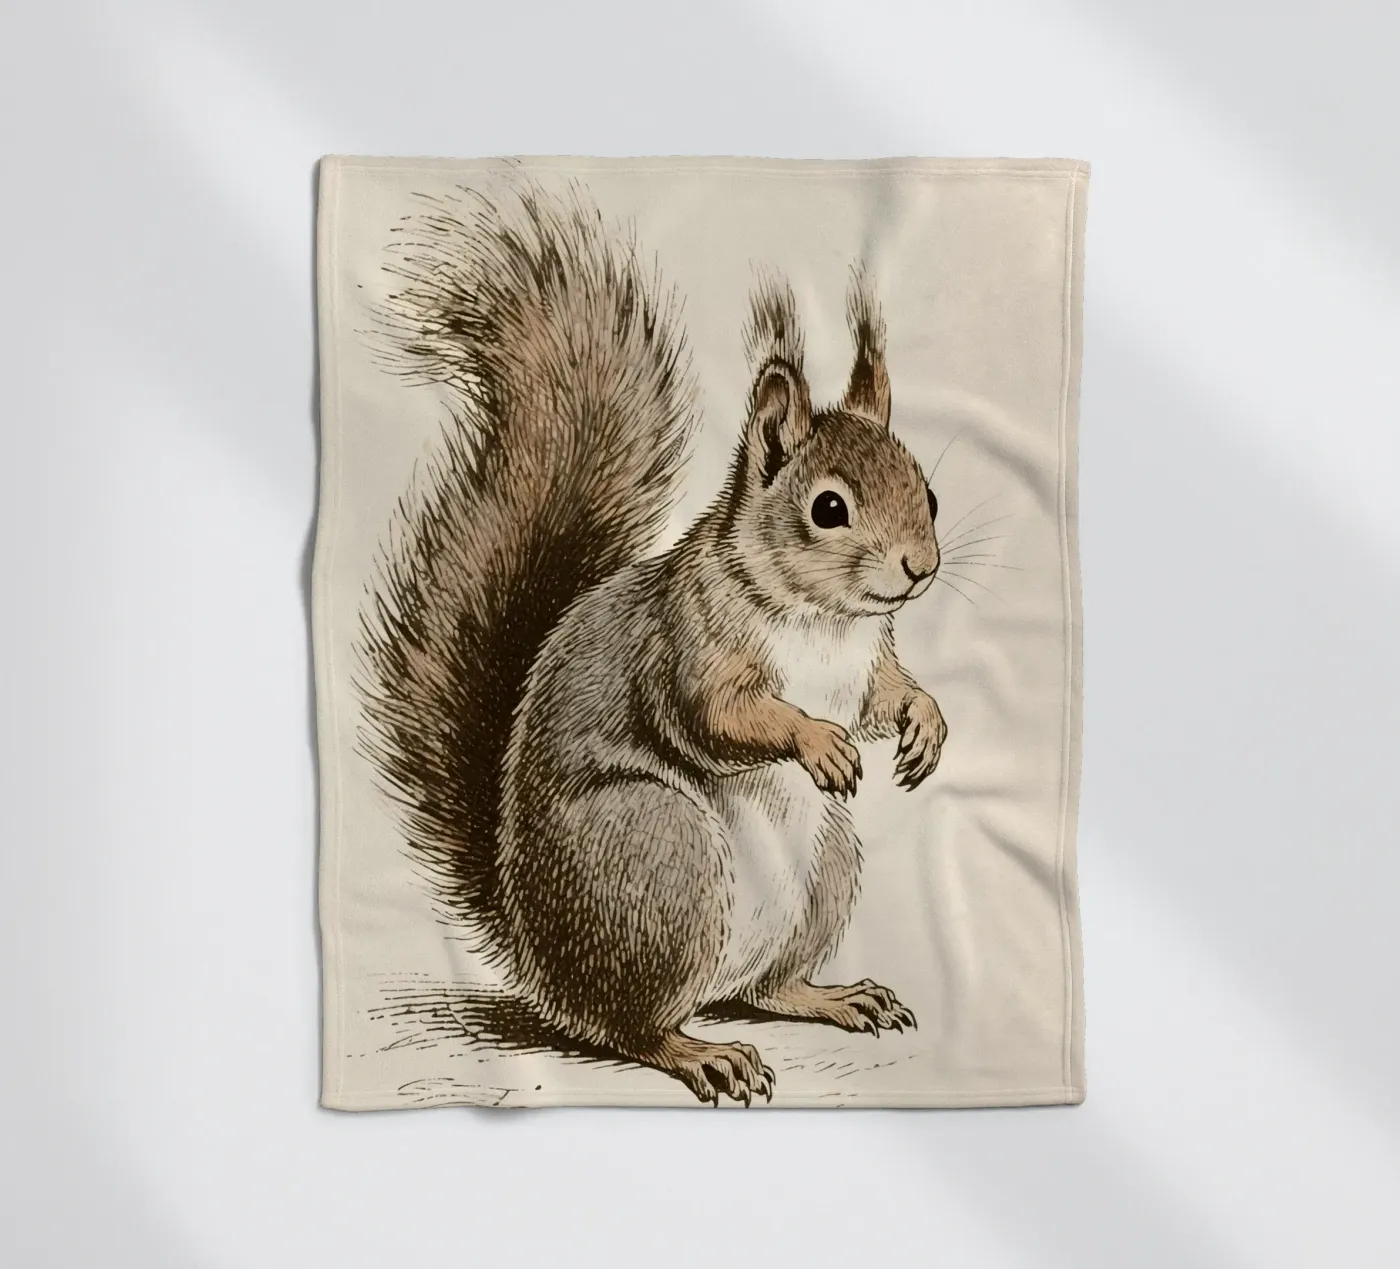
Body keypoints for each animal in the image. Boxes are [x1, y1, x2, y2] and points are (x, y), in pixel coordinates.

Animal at [358, 185, 947, 1105]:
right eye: (828, 508)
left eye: (929, 491)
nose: (921, 568)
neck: (823, 620)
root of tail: (543, 966)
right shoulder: (686, 643)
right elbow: (715, 716)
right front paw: (817, 740)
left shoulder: (865, 663)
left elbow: (890, 693)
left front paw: (926, 723)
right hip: (659, 854)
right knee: (633, 1027)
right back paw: (702, 1052)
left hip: (826, 867)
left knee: (763, 987)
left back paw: (834, 995)